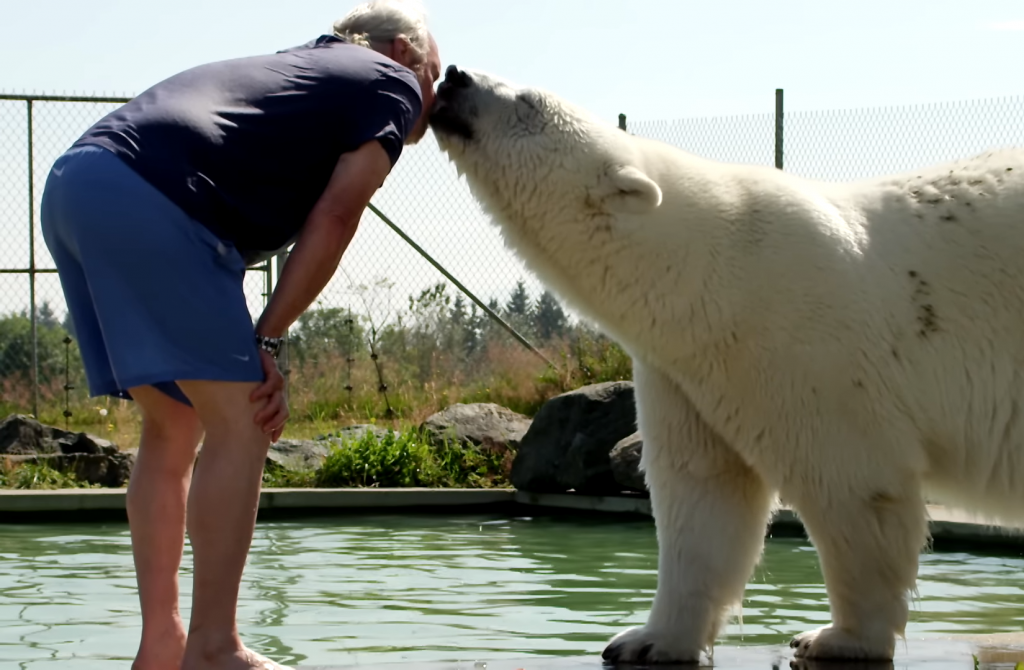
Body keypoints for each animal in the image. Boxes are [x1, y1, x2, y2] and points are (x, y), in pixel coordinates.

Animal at [428, 65, 1024, 663]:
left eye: (527, 101)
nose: (454, 74)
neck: (713, 264)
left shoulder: (804, 342)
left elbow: (852, 487)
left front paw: (834, 637)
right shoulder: (687, 367)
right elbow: (703, 494)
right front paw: (645, 639)